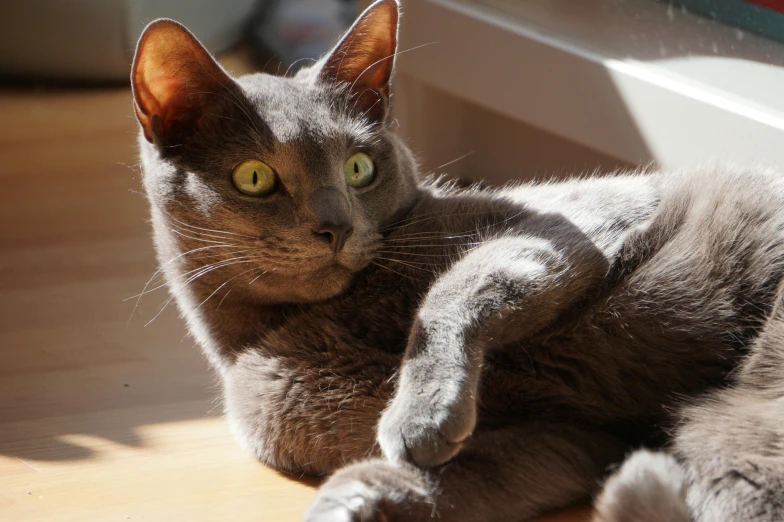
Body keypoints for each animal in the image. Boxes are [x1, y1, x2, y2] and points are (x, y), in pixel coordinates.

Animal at [132, 2, 784, 516]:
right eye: (255, 177)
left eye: (359, 167)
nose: (336, 226)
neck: (280, 331)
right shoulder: (572, 439)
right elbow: (469, 473)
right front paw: (354, 499)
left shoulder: (578, 224)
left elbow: (456, 289)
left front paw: (420, 417)